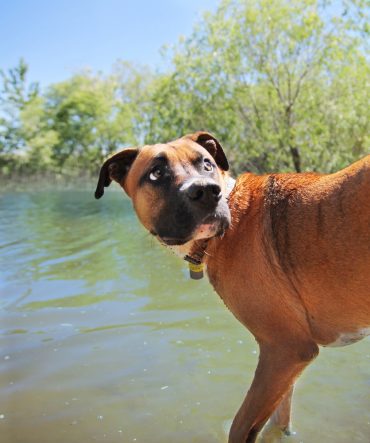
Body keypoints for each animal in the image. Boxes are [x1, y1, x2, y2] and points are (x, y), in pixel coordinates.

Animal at [94, 133, 368, 443]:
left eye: (207, 164)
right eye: (156, 173)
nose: (206, 191)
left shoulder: (285, 349)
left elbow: (240, 426)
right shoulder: (288, 364)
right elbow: (279, 418)